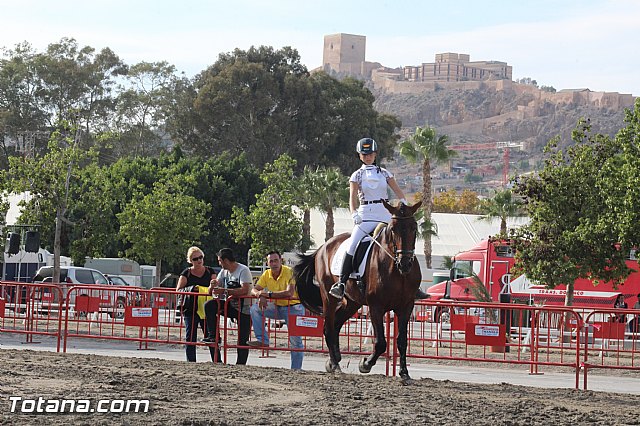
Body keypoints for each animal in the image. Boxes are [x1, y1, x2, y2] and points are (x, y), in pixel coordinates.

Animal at [292, 201, 422, 382]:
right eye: (392, 229)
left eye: (414, 227)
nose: (405, 263)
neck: (396, 269)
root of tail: (322, 247)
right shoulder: (376, 307)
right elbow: (381, 343)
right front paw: (365, 364)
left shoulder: (406, 306)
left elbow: (402, 340)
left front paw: (404, 372)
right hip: (329, 298)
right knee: (329, 328)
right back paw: (335, 364)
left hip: (353, 303)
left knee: (337, 324)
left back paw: (334, 359)